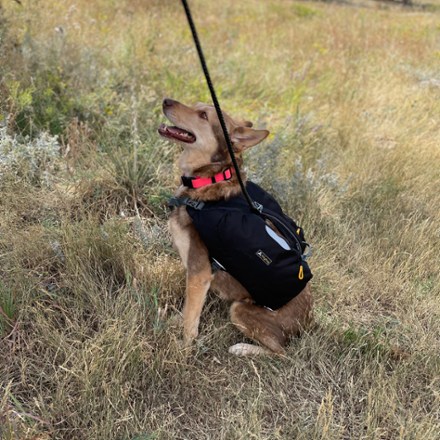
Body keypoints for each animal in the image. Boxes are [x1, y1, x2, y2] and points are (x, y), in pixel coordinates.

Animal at [158, 98, 312, 356]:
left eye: (203, 115)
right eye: (196, 105)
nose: (166, 100)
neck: (208, 180)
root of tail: (306, 324)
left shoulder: (199, 272)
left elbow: (191, 321)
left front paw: (183, 350)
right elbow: (188, 310)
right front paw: (175, 322)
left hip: (239, 310)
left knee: (282, 354)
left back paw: (242, 348)